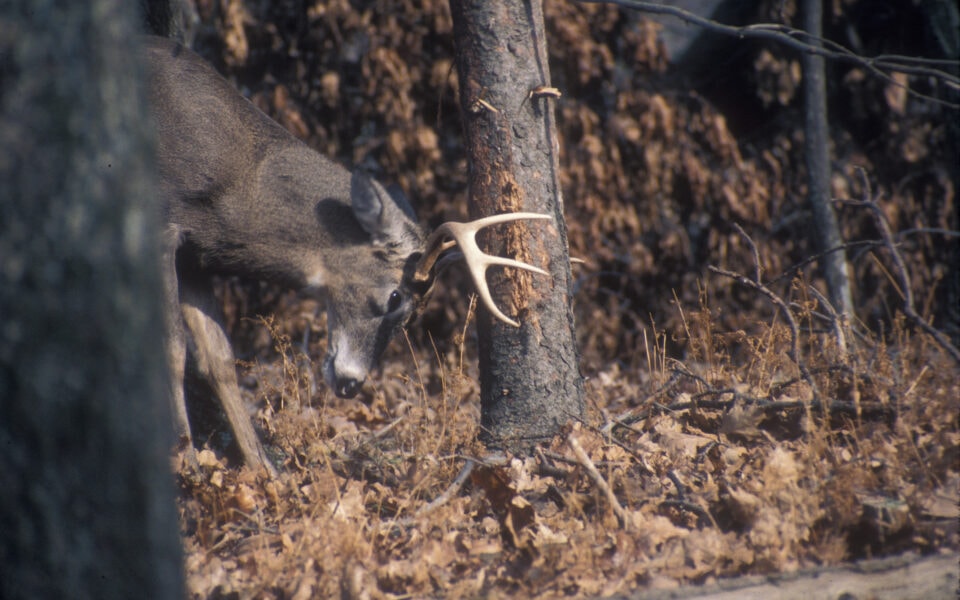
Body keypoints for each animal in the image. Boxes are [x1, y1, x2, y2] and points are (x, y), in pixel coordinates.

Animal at [142, 37, 548, 476]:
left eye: (415, 318)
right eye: (394, 297)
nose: (353, 383)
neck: (234, 183)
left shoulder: (197, 253)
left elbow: (219, 360)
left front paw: (265, 471)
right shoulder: (165, 226)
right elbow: (172, 350)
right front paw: (186, 465)